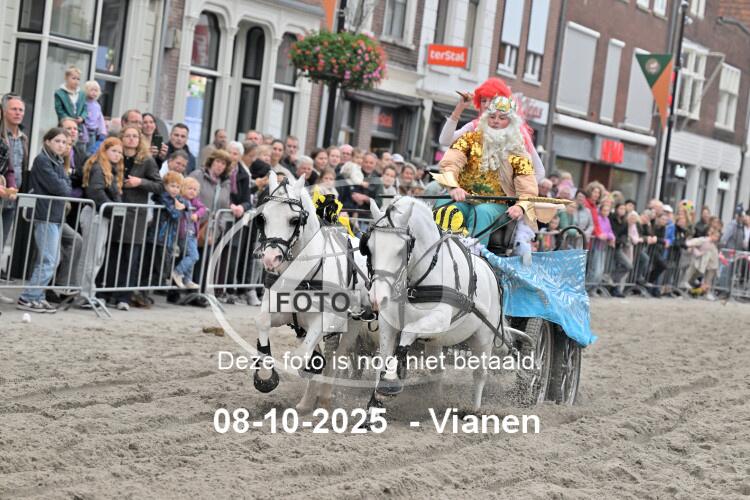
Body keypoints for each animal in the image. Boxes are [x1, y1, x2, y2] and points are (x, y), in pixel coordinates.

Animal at [254, 172, 373, 413]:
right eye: (263, 217)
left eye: (294, 220)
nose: (270, 258)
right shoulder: (282, 313)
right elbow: (262, 321)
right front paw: (265, 378)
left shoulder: (326, 319)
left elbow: (301, 358)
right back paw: (307, 402)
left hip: (353, 323)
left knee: (338, 355)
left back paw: (325, 397)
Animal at [362, 196, 513, 410]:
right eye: (369, 247)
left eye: (401, 250)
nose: (377, 298)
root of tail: (491, 271)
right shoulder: (388, 323)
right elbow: (382, 359)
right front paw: (375, 404)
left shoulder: (439, 319)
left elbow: (407, 332)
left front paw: (391, 380)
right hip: (437, 340)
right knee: (438, 371)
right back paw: (436, 400)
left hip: (483, 337)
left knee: (480, 374)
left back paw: (475, 411)